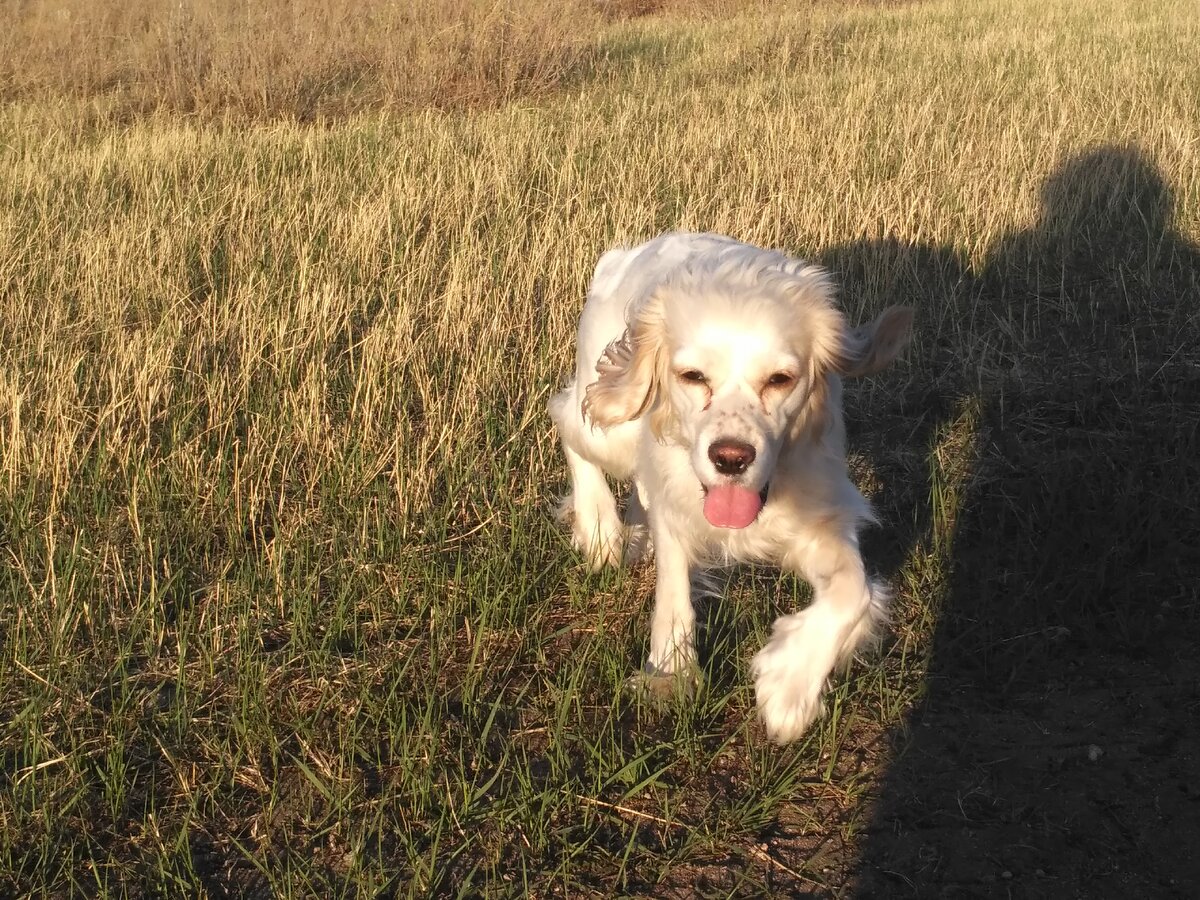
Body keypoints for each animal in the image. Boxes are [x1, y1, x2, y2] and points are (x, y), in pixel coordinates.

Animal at [549, 234, 912, 748]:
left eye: (780, 379)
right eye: (693, 376)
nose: (731, 458)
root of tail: (626, 252)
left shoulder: (818, 521)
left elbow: (853, 593)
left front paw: (788, 687)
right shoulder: (677, 511)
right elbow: (675, 595)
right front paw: (672, 673)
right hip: (609, 423)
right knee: (565, 416)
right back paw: (600, 530)